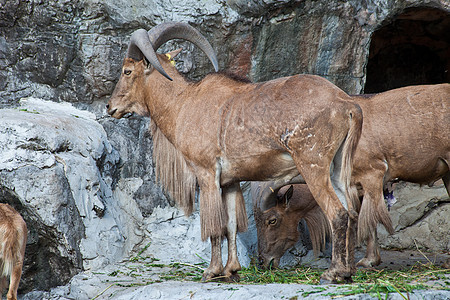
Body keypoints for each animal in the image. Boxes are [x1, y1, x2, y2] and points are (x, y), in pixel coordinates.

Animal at [107, 21, 364, 284]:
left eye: (127, 71)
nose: (110, 107)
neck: (182, 104)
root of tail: (347, 105)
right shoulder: (230, 182)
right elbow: (230, 226)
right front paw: (231, 270)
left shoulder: (207, 174)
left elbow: (214, 227)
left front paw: (211, 272)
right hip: (338, 168)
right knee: (352, 212)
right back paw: (348, 272)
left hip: (313, 166)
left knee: (338, 213)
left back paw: (333, 273)